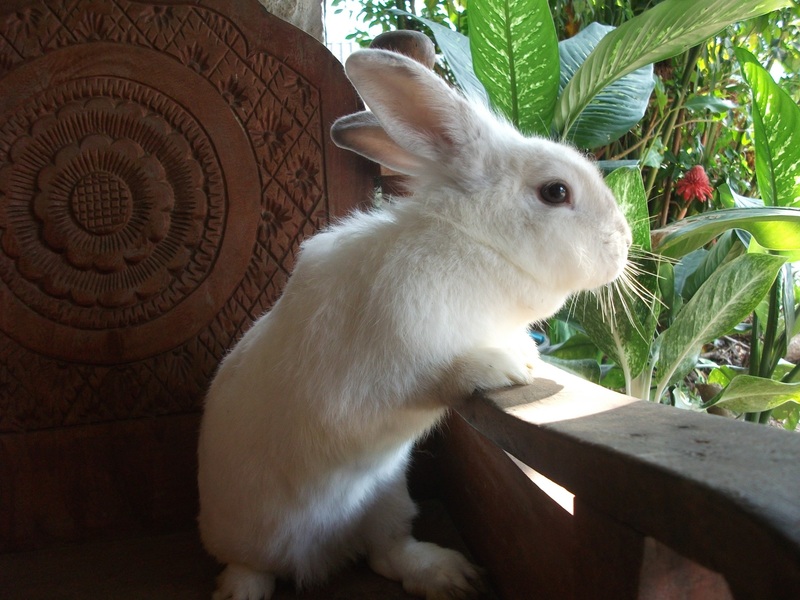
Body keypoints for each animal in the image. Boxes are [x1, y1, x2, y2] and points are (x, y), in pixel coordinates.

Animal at [197, 48, 632, 600]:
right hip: (241, 531)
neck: (471, 245)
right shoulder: (379, 376)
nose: (624, 241)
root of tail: (317, 559)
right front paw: (502, 366)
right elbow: (435, 378)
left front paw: (526, 355)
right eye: (556, 192)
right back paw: (240, 590)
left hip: (389, 500)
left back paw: (450, 575)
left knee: (388, 552)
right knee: (251, 567)